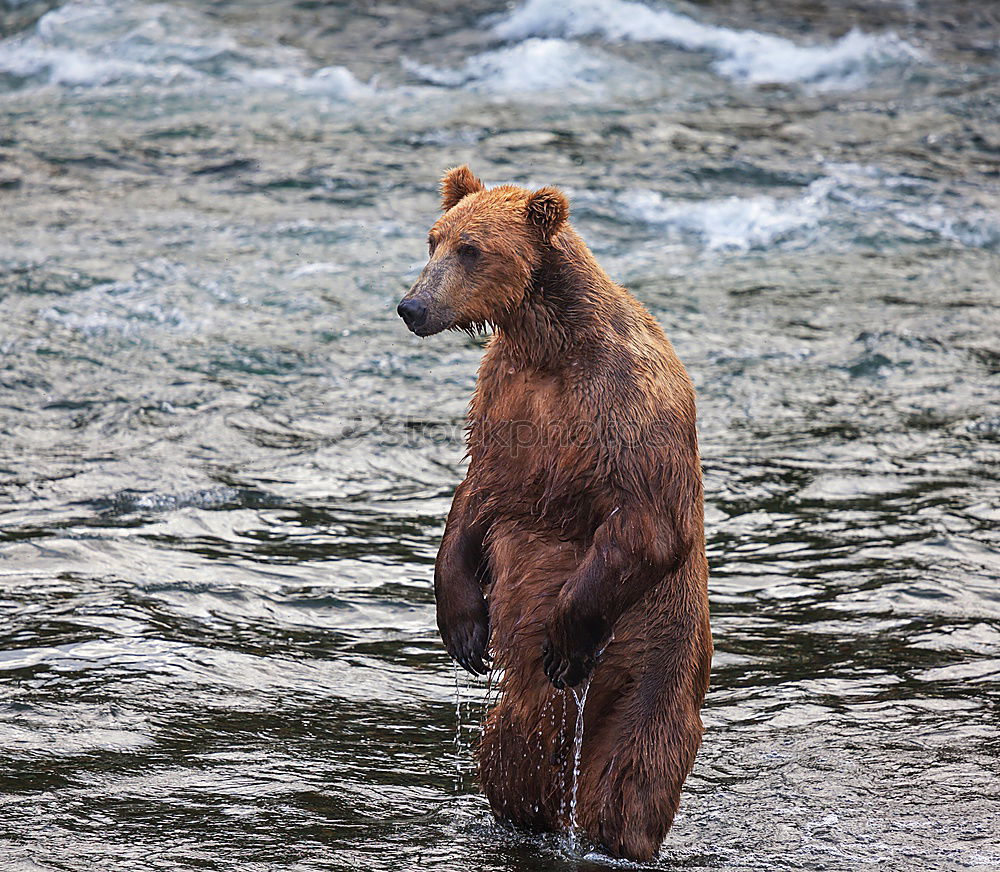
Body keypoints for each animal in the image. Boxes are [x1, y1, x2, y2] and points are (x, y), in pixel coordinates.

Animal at [396, 167, 712, 860]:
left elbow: (646, 525)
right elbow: (477, 493)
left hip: (655, 666)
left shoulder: (622, 401)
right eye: (433, 239)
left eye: (471, 249)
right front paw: (463, 629)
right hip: (534, 713)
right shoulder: (506, 401)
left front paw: (567, 638)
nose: (412, 306)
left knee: (629, 780)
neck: (550, 345)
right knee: (514, 759)